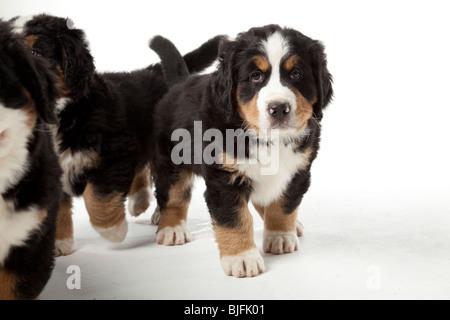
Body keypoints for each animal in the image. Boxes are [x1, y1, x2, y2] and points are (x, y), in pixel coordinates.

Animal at [22, 13, 223, 255]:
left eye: (35, 52)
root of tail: (153, 70)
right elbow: (59, 206)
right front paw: (60, 244)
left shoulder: (115, 155)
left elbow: (98, 197)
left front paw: (113, 230)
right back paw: (141, 202)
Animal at [151, 24, 334, 278]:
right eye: (255, 76)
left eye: (296, 74)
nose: (279, 108)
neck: (267, 139)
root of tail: (182, 82)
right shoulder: (224, 178)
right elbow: (234, 218)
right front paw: (242, 257)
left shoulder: (298, 170)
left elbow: (284, 204)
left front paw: (280, 235)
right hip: (171, 159)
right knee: (173, 194)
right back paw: (170, 227)